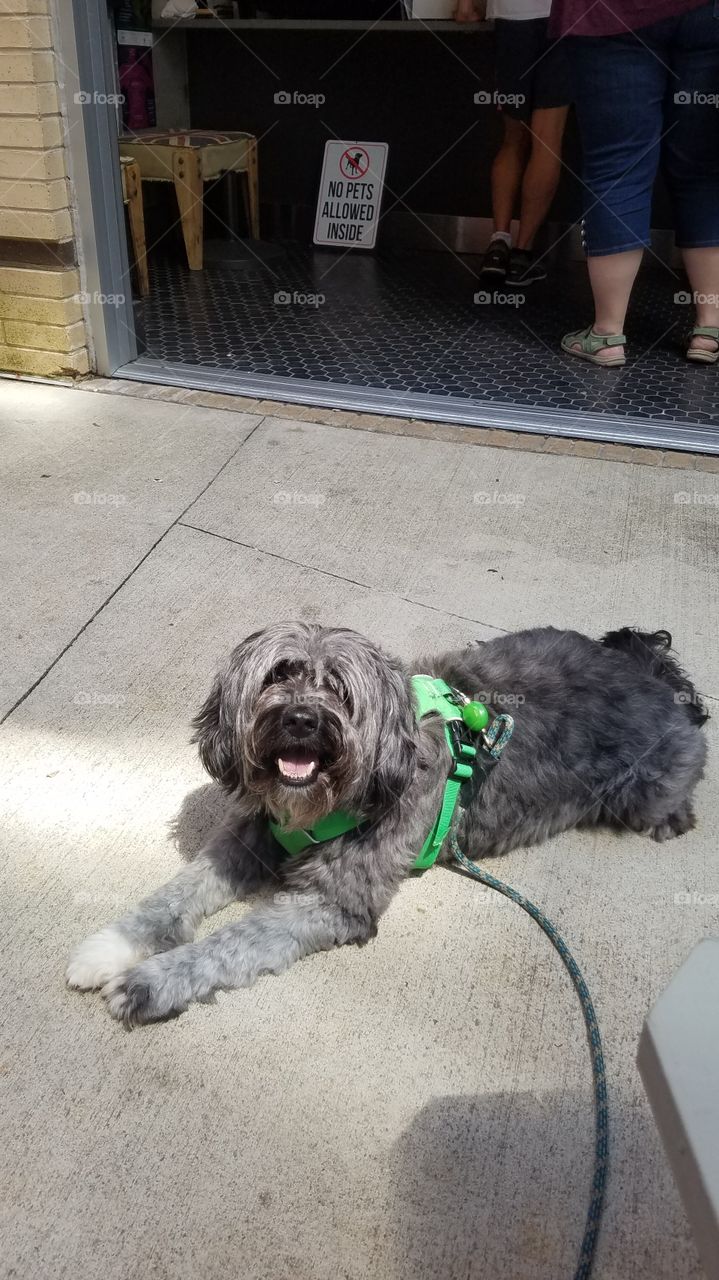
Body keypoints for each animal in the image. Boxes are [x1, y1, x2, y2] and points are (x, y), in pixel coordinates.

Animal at [67, 614, 706, 1024]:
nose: (301, 719)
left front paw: (150, 982)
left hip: (647, 788)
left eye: (340, 690)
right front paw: (110, 947)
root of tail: (651, 675)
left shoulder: (334, 904)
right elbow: (175, 895)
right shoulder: (251, 837)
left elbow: (227, 943)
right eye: (279, 674)